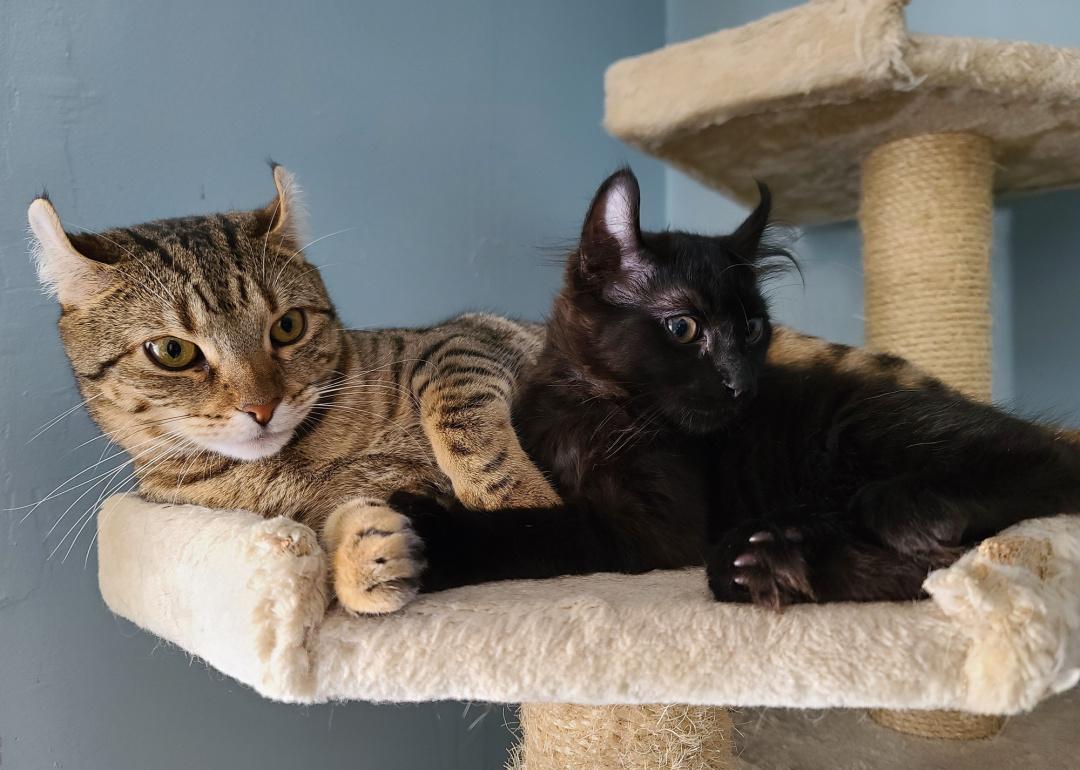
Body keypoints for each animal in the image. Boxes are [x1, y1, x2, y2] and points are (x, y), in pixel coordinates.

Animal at [30, 166, 561, 613]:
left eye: (288, 326)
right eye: (172, 351)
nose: (262, 407)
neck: (290, 464)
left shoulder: (461, 339)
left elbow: (459, 418)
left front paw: (522, 501)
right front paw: (366, 555)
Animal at [390, 168, 1080, 604]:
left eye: (751, 328)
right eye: (683, 327)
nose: (740, 383)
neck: (593, 405)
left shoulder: (651, 525)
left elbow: (539, 529)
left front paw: (435, 540)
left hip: (866, 427)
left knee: (1041, 464)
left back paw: (907, 509)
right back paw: (780, 562)